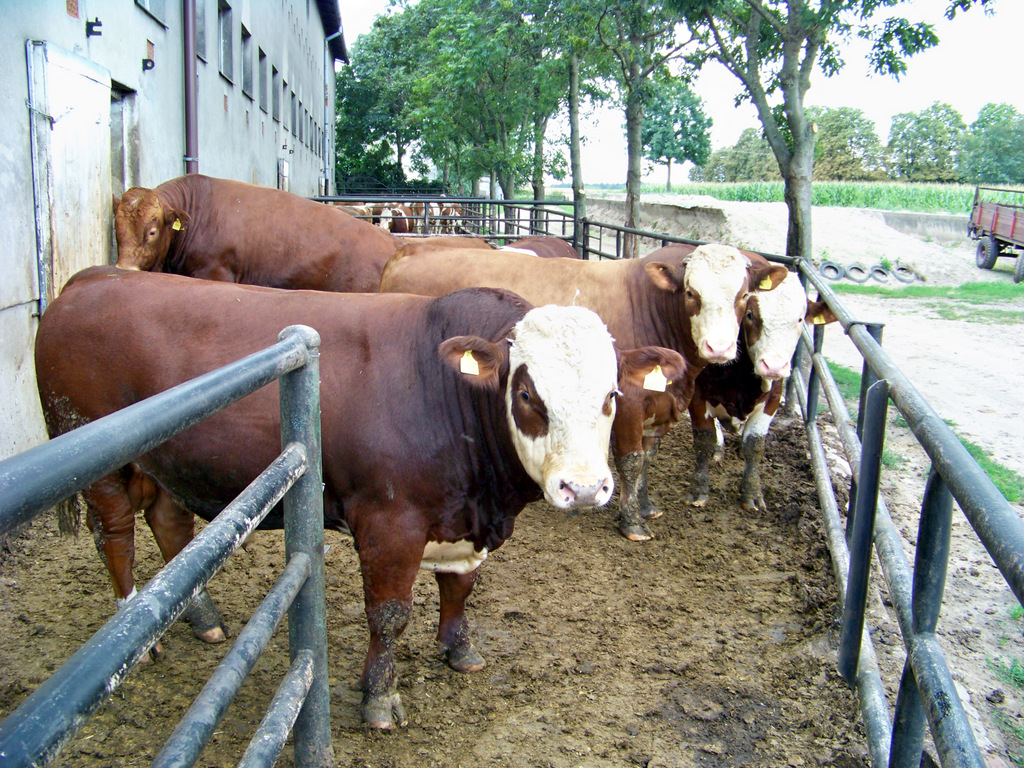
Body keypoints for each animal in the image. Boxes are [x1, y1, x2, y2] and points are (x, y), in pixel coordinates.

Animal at [35, 265, 684, 729]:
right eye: (527, 394)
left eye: (610, 394)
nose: (585, 488)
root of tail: (91, 277)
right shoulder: (388, 522)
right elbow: (389, 614)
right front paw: (379, 697)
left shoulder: (462, 520)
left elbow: (459, 587)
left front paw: (459, 649)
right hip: (94, 456)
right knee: (115, 533)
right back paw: (134, 637)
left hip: (169, 461)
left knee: (169, 522)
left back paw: (202, 619)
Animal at [379, 242, 789, 540]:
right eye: (691, 292)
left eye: (744, 297)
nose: (719, 347)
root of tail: (408, 251)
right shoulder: (630, 407)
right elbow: (631, 460)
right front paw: (632, 523)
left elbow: (647, 458)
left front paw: (645, 505)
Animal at [684, 273, 838, 511]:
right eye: (750, 315)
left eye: (800, 320)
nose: (774, 366)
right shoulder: (697, 395)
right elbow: (703, 441)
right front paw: (699, 489)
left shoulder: (772, 399)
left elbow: (754, 446)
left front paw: (751, 492)